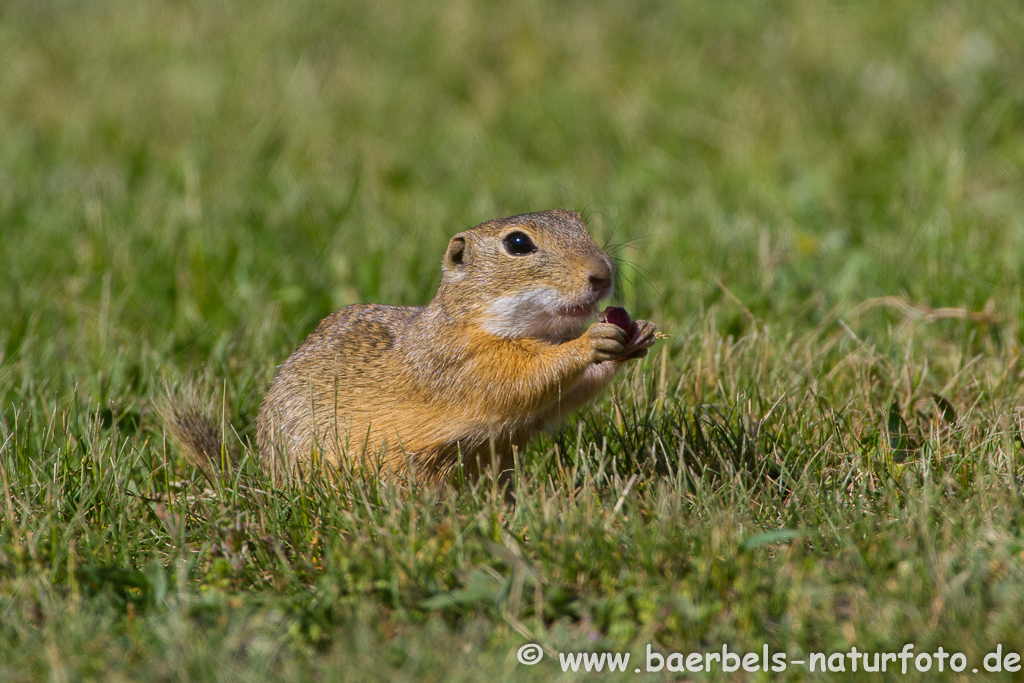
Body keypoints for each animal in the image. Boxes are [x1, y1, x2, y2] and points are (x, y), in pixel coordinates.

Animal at [161, 208, 655, 485]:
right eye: (518, 243)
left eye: (580, 223)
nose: (603, 273)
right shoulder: (462, 364)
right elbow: (525, 378)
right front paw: (592, 341)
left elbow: (561, 397)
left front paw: (638, 336)